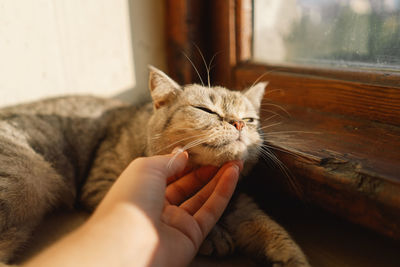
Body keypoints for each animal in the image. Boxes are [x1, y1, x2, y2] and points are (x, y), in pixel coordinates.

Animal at [0, 66, 310, 266]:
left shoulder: (239, 205)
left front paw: (292, 259)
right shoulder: (102, 185)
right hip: (27, 179)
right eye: (205, 110)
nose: (237, 124)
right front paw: (214, 236)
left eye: (249, 119)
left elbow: (273, 231)